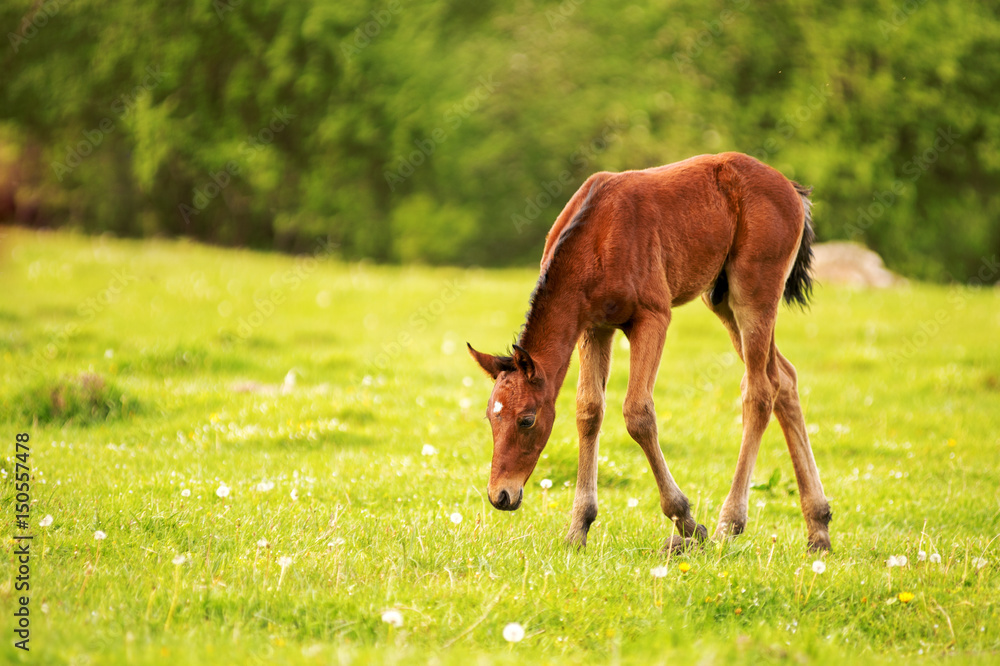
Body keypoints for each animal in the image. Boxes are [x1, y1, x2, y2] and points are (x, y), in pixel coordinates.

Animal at [467, 151, 832, 552]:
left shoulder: (652, 317)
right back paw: (818, 528)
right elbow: (589, 411)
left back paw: (729, 523)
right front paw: (579, 527)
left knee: (760, 390)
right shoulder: (594, 328)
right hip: (721, 299)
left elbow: (638, 414)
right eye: (491, 418)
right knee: (784, 378)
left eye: (527, 419)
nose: (501, 495)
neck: (596, 236)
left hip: (753, 293)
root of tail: (792, 189)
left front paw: (687, 521)